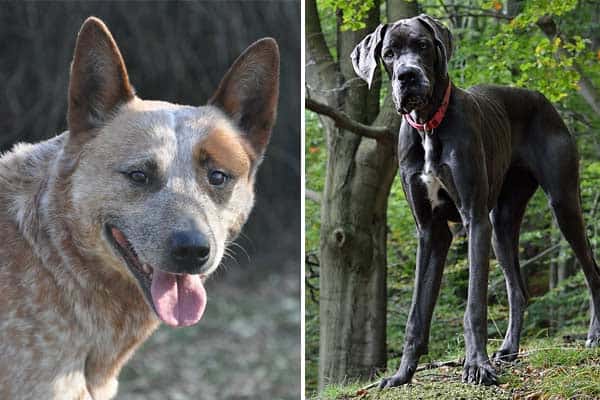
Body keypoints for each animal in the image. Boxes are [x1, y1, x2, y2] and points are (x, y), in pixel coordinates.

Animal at [352, 15, 600, 388]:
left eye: (422, 45)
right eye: (389, 53)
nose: (407, 76)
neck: (429, 126)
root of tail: (540, 97)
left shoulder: (474, 219)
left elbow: (473, 306)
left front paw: (476, 366)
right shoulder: (431, 231)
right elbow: (416, 314)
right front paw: (402, 374)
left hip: (563, 203)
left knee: (591, 271)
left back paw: (594, 334)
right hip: (502, 224)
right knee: (518, 290)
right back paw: (509, 349)